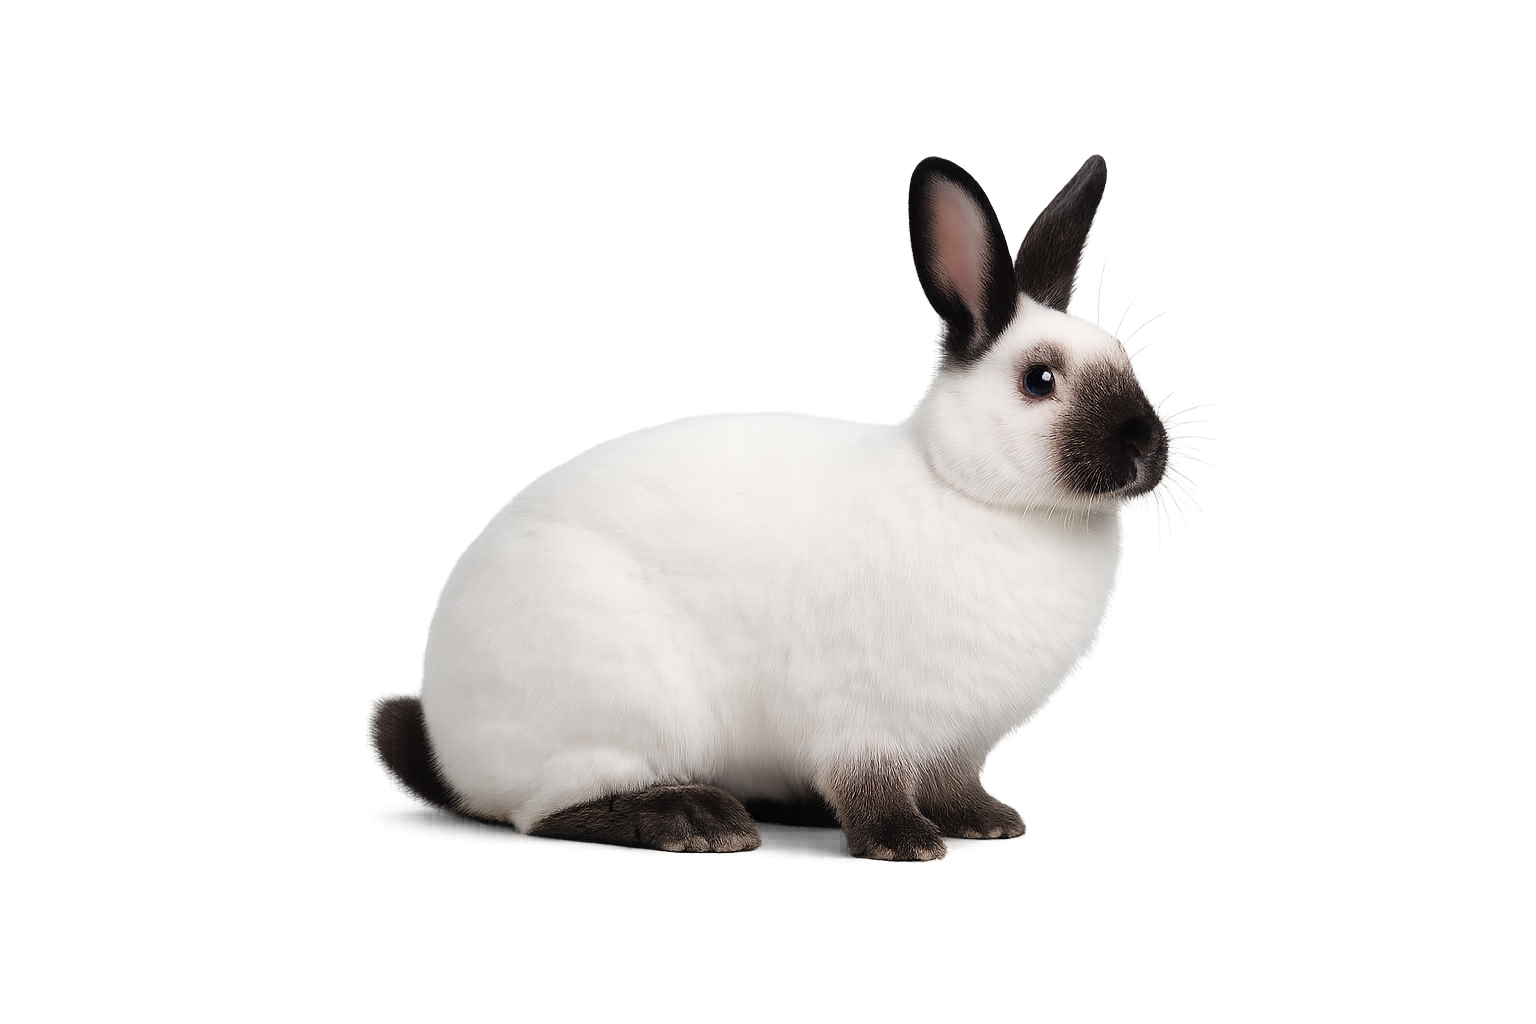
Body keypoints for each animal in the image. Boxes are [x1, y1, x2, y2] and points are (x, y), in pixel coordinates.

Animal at [372, 155, 1167, 860]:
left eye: (1125, 360)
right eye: (1039, 380)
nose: (1147, 445)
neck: (968, 491)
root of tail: (452, 757)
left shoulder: (948, 735)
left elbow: (948, 780)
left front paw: (988, 821)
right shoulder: (859, 716)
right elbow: (869, 781)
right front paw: (903, 843)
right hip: (619, 710)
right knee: (543, 812)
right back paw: (692, 819)